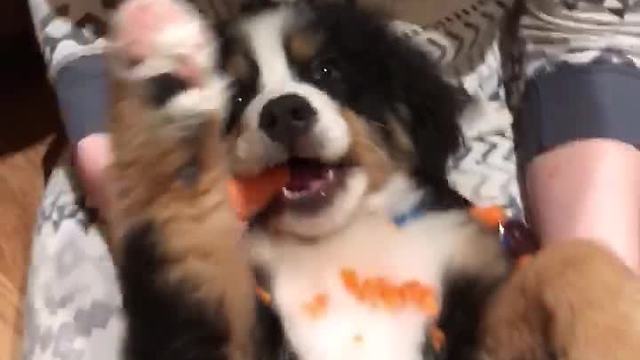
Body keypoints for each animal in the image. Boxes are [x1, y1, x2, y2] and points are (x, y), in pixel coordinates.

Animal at [107, 0, 640, 360]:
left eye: (327, 70)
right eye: (238, 96)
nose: (283, 113)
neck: (342, 237)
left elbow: (573, 258)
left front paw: (614, 335)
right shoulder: (198, 323)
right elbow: (184, 215)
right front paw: (156, 55)